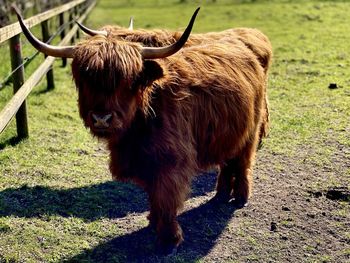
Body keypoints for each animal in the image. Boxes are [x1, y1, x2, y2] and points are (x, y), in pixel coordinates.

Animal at [15, 7, 274, 255]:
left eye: (127, 81)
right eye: (85, 79)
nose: (101, 118)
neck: (138, 128)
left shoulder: (171, 163)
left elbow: (167, 199)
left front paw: (168, 241)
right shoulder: (145, 163)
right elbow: (154, 196)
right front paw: (152, 222)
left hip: (250, 132)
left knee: (242, 163)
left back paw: (240, 198)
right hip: (227, 134)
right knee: (227, 163)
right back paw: (221, 194)